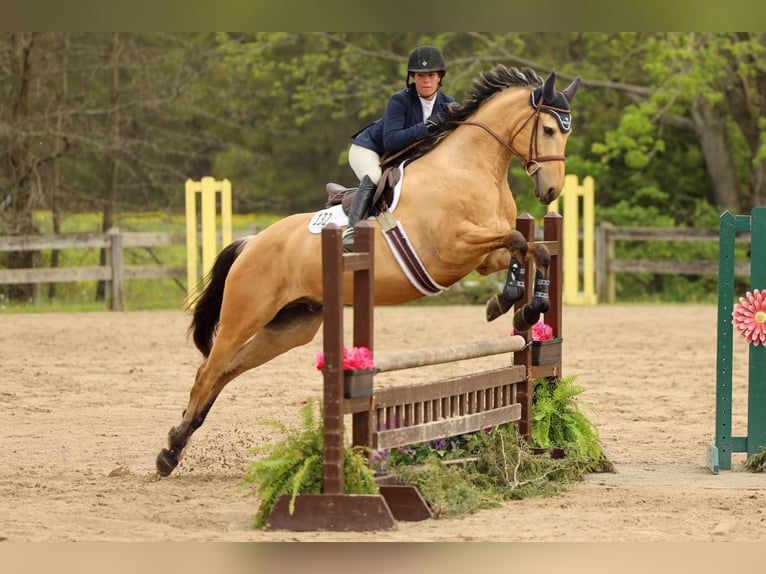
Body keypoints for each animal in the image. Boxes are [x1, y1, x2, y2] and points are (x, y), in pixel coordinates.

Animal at [156, 65, 584, 480]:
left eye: (568, 131)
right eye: (548, 129)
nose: (550, 192)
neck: (470, 170)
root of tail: (252, 242)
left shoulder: (481, 257)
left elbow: (532, 249)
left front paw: (520, 306)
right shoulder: (453, 248)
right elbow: (518, 238)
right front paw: (513, 302)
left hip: (291, 326)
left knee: (227, 371)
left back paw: (177, 442)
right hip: (245, 314)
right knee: (208, 370)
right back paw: (168, 453)